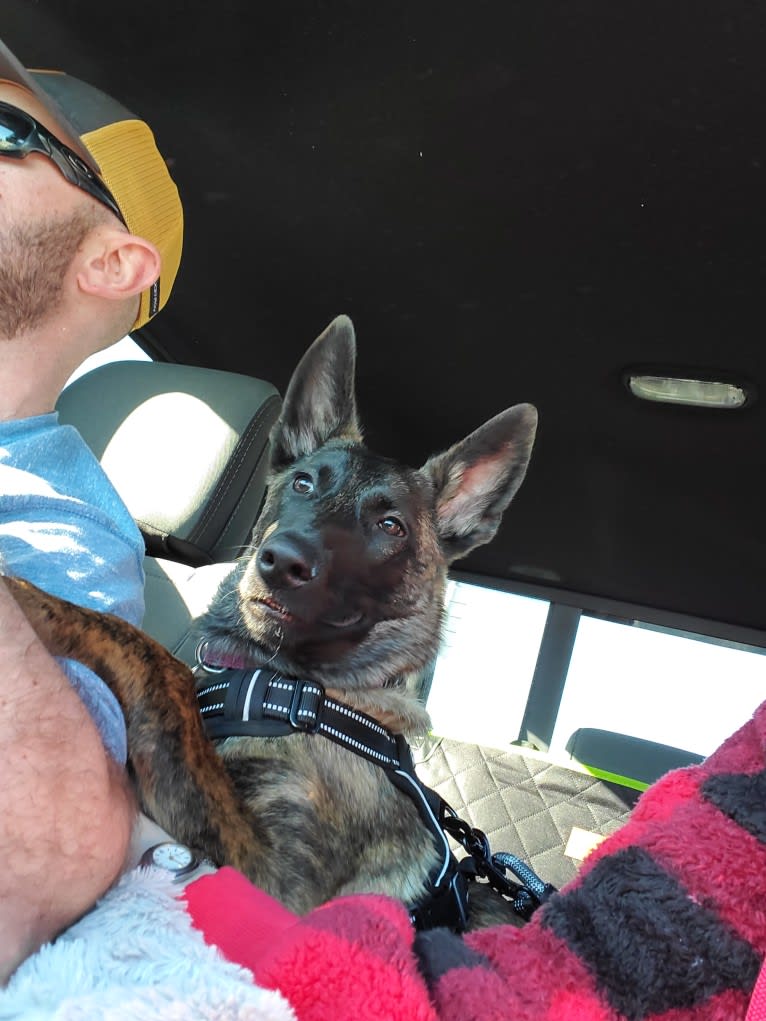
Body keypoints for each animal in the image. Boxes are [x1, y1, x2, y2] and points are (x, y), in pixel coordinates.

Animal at [4, 314, 539, 931]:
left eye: (391, 526)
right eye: (304, 483)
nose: (282, 562)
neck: (287, 687)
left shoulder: (268, 880)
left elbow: (155, 663)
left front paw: (32, 598)